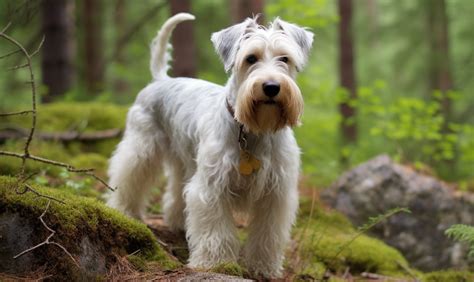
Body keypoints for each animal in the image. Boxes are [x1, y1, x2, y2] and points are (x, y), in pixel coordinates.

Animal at [109, 13, 312, 278]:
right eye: (250, 58)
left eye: (285, 58)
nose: (271, 86)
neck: (252, 130)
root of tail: (161, 79)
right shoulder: (212, 187)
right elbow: (215, 231)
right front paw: (215, 263)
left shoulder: (275, 193)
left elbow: (267, 235)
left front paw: (263, 267)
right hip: (140, 148)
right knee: (128, 179)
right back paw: (124, 212)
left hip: (184, 161)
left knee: (175, 192)